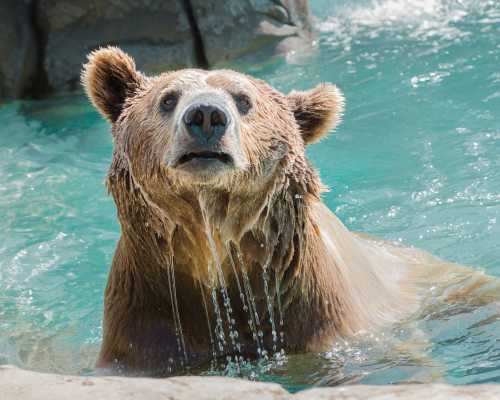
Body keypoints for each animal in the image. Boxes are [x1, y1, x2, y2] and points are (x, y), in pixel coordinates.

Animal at [80, 46, 494, 376]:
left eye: (243, 100)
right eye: (168, 99)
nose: (206, 116)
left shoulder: (322, 317)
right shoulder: (149, 316)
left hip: (440, 282)